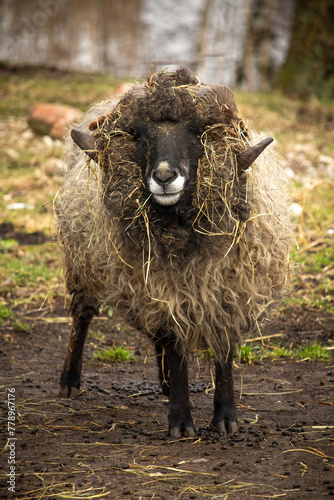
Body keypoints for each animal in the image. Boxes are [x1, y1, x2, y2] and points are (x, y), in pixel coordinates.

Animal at [55, 67, 292, 438]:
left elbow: (223, 352)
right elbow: (175, 347)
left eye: (197, 133)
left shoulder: (228, 293)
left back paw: (165, 384)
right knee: (82, 315)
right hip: (84, 261)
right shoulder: (161, 288)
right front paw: (180, 423)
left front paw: (226, 419)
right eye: (138, 135)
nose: (165, 177)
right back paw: (70, 381)